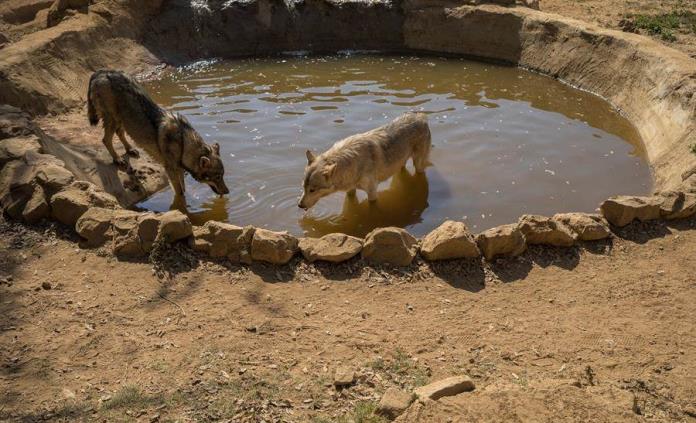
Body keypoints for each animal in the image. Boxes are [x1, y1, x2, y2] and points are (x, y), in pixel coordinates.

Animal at [86, 70, 230, 200]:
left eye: (223, 175)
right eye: (218, 177)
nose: (228, 192)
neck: (183, 143)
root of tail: (101, 72)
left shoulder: (179, 170)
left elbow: (183, 188)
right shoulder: (171, 170)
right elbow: (180, 193)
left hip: (123, 120)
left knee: (119, 133)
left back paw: (130, 149)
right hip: (113, 119)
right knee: (106, 139)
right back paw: (117, 159)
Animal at [298, 112, 430, 210]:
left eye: (312, 190)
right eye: (303, 187)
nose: (299, 205)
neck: (353, 162)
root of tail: (421, 116)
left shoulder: (372, 193)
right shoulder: (350, 191)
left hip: (418, 165)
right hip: (398, 166)